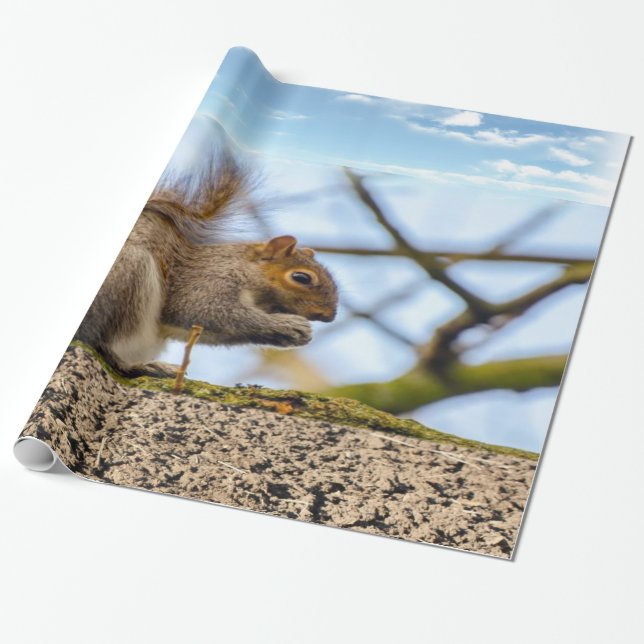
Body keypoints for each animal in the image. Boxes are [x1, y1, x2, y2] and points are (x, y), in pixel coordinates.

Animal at [74, 150, 338, 377]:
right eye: (302, 277)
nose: (330, 316)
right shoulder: (208, 280)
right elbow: (206, 311)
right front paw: (288, 326)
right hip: (127, 273)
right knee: (101, 342)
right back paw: (138, 365)